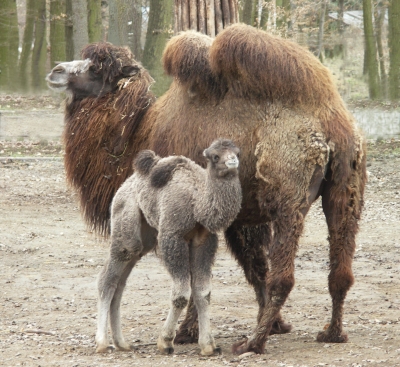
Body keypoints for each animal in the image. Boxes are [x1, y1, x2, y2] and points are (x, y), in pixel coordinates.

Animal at [95, 139, 242, 356]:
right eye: (215, 157)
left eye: (237, 152)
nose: (232, 161)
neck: (197, 204)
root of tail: (123, 186)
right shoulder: (172, 238)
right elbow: (181, 294)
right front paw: (165, 342)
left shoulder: (205, 241)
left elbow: (203, 293)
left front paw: (208, 345)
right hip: (125, 219)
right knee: (111, 274)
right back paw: (102, 342)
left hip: (145, 236)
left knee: (121, 281)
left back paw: (122, 343)